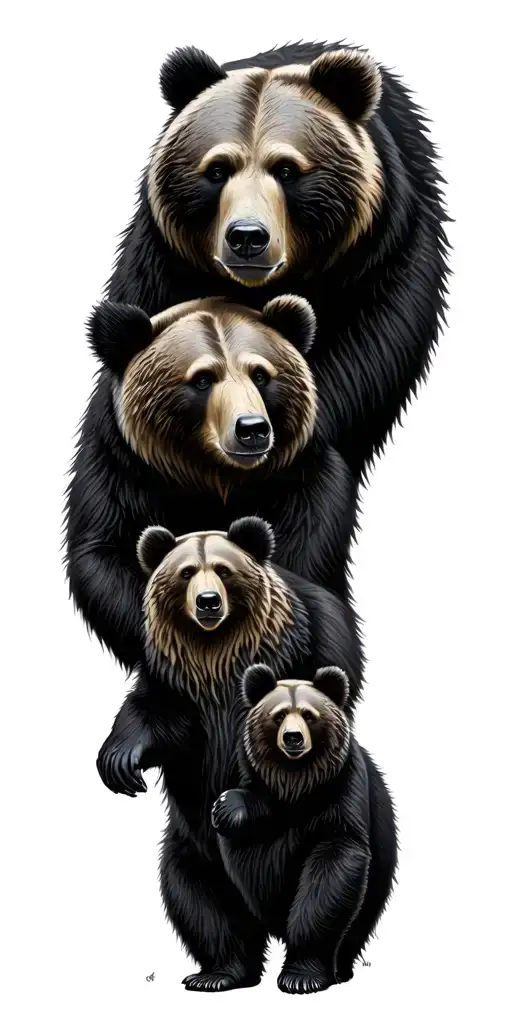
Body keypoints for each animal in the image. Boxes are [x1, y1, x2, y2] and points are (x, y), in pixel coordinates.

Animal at [66, 295, 356, 671]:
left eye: (260, 374)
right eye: (203, 379)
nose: (252, 428)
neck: (217, 477)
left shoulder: (304, 479)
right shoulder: (120, 469)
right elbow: (104, 552)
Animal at [97, 517, 363, 991]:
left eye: (224, 570)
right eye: (186, 572)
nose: (207, 602)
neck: (216, 653)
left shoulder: (304, 647)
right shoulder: (174, 679)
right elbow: (156, 714)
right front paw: (120, 762)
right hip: (189, 841)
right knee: (195, 892)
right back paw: (220, 971)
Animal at [104, 39, 449, 479]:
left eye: (286, 169)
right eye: (217, 170)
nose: (247, 237)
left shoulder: (379, 255)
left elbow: (365, 348)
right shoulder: (164, 260)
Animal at [211, 663, 397, 994]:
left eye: (309, 715)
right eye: (279, 715)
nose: (293, 738)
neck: (297, 782)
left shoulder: (343, 792)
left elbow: (333, 867)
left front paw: (300, 976)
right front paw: (228, 807)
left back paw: (339, 970)